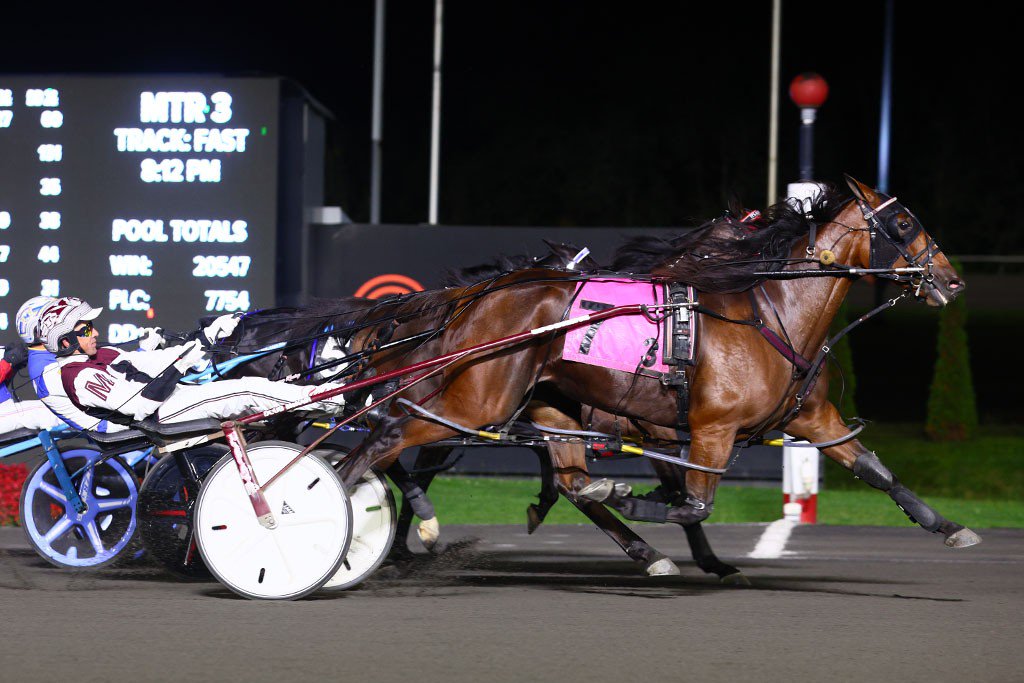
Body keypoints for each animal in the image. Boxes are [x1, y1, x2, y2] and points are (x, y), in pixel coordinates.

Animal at [333, 176, 974, 561]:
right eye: (903, 224)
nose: (950, 280)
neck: (771, 313)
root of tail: (478, 298)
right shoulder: (710, 429)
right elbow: (693, 502)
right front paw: (644, 506)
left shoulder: (812, 420)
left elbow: (876, 470)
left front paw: (948, 526)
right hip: (476, 402)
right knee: (388, 439)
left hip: (539, 405)